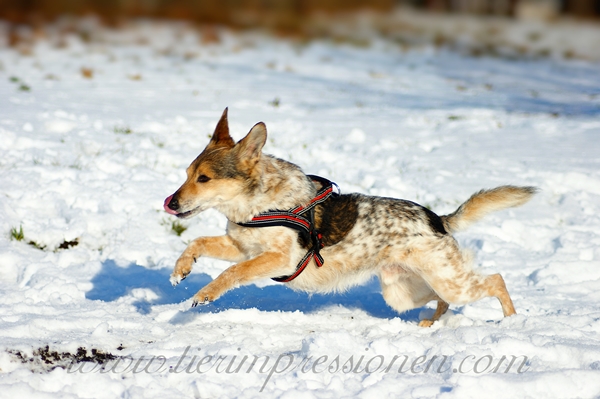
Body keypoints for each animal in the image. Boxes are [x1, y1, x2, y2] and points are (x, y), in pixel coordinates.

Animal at [163, 109, 536, 328]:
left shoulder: (278, 259)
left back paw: (511, 322)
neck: (255, 204)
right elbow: (198, 242)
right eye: (187, 174)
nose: (171, 202)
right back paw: (431, 323)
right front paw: (181, 269)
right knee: (441, 299)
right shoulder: (240, 246)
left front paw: (205, 293)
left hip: (447, 281)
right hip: (403, 291)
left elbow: (232, 272)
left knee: (495, 280)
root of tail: (437, 220)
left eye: (204, 179)